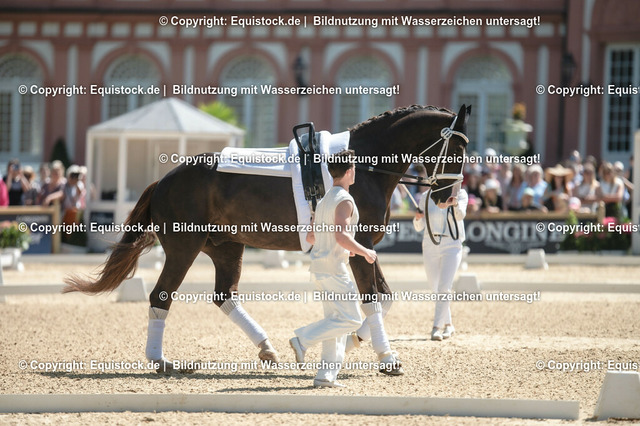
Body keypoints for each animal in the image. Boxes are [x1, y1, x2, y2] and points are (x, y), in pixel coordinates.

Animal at [63, 104, 471, 375]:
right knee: (160, 296)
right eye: (459, 149)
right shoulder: (360, 249)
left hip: (226, 248)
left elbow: (384, 298)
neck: (366, 165)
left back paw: (266, 348)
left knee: (224, 296)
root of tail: (165, 178)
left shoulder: (365, 248)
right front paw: (387, 358)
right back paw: (160, 360)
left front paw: (353, 340)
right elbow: (372, 301)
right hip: (184, 248)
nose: (446, 197)